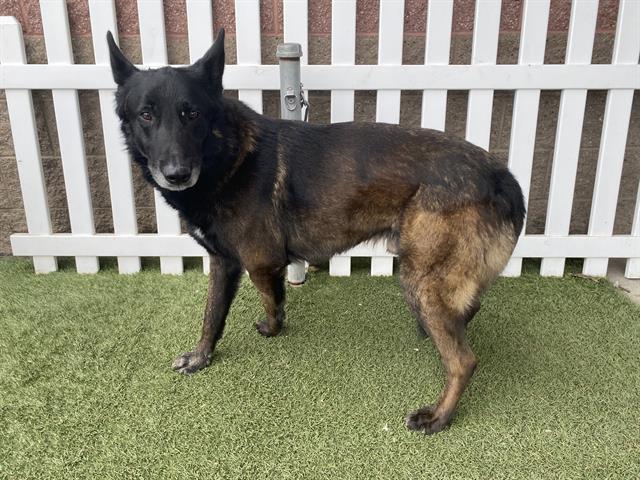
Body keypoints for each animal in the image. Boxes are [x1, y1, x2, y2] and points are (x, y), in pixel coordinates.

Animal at [107, 30, 525, 434]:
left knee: (463, 361)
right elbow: (213, 314)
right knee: (465, 314)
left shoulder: (259, 263)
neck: (226, 154)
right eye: (146, 115)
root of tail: (501, 176)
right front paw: (201, 356)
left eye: (191, 113)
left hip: (420, 281)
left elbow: (268, 300)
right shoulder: (223, 262)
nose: (176, 174)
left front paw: (271, 329)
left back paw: (439, 416)